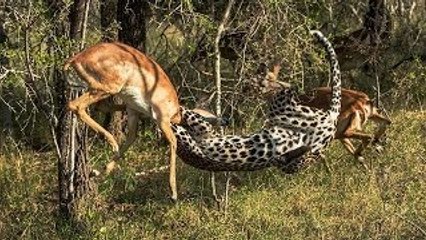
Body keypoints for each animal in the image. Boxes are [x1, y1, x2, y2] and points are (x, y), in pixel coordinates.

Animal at [171, 30, 342, 173]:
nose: (225, 120)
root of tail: (330, 117)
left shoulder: (202, 128)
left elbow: (185, 111)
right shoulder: (202, 129)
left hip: (282, 110)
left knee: (285, 87)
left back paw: (262, 77)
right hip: (284, 116)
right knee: (285, 90)